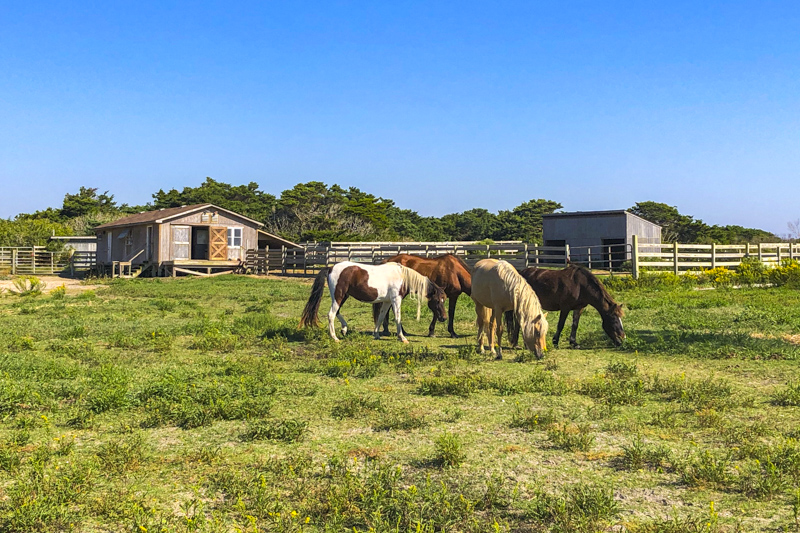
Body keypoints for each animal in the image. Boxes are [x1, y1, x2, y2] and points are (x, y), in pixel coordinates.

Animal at [299, 261, 447, 343]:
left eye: (444, 299)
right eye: (437, 300)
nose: (444, 318)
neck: (403, 277)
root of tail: (330, 267)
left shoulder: (387, 301)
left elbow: (381, 317)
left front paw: (376, 334)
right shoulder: (396, 300)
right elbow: (397, 318)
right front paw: (402, 338)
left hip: (342, 296)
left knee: (337, 312)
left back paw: (344, 329)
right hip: (339, 296)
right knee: (331, 314)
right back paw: (335, 337)